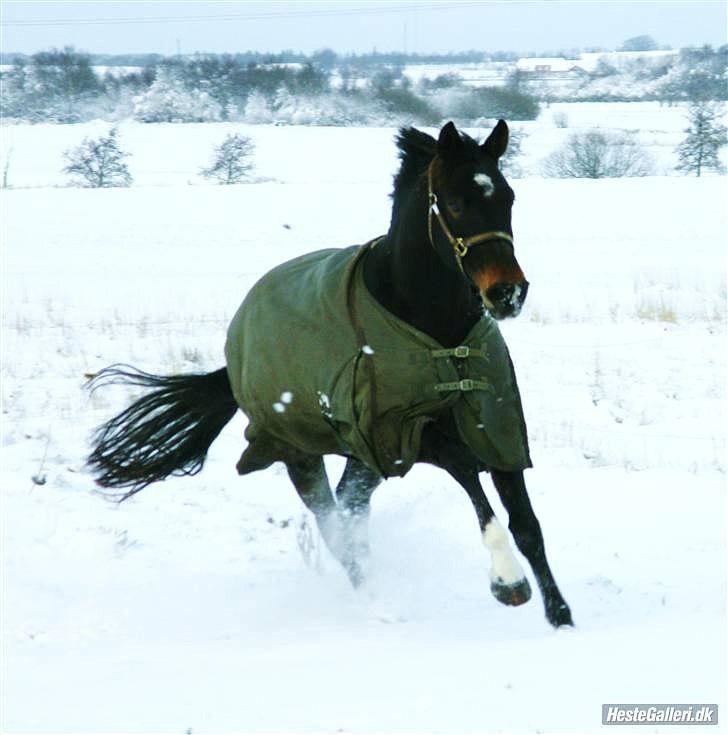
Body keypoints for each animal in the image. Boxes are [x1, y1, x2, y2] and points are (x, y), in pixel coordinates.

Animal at [86, 119, 576, 628]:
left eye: (508, 198)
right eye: (456, 203)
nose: (507, 294)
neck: (436, 334)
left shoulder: (494, 423)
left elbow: (527, 525)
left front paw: (560, 615)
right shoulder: (403, 433)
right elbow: (470, 480)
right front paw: (509, 583)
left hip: (358, 458)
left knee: (350, 509)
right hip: (298, 452)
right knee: (334, 524)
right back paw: (374, 604)